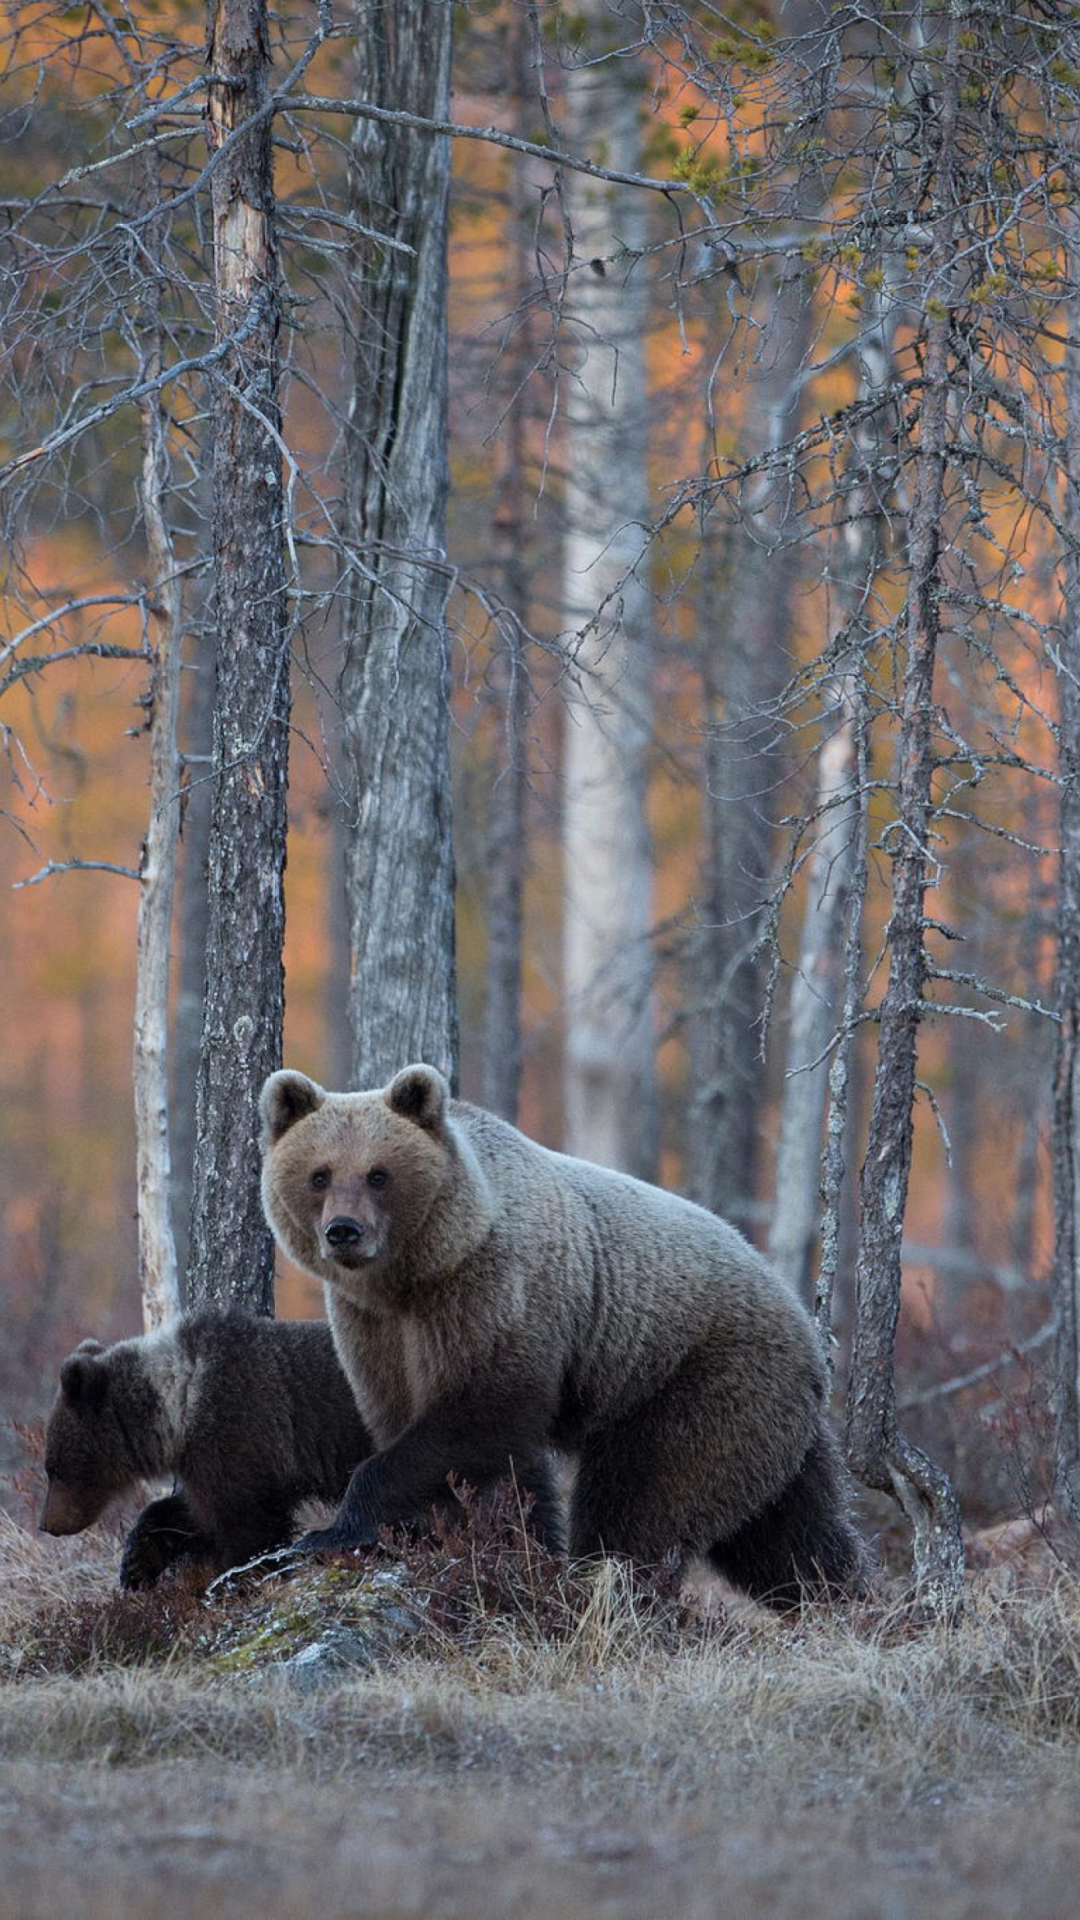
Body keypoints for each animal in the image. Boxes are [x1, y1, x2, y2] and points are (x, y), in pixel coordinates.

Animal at [39, 1305, 368, 1589]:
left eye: (54, 1469)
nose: (46, 1524)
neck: (180, 1405)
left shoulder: (236, 1429)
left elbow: (246, 1525)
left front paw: (240, 1576)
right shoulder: (206, 1458)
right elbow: (192, 1512)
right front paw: (136, 1564)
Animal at [255, 1067, 860, 1605]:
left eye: (378, 1174)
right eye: (319, 1174)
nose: (344, 1231)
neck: (416, 1276)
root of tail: (804, 1322)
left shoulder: (495, 1296)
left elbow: (476, 1418)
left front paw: (333, 1531)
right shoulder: (374, 1329)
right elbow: (446, 1442)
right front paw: (483, 1540)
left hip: (700, 1378)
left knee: (647, 1499)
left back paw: (609, 1585)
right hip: (769, 1421)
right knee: (787, 1529)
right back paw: (840, 1599)